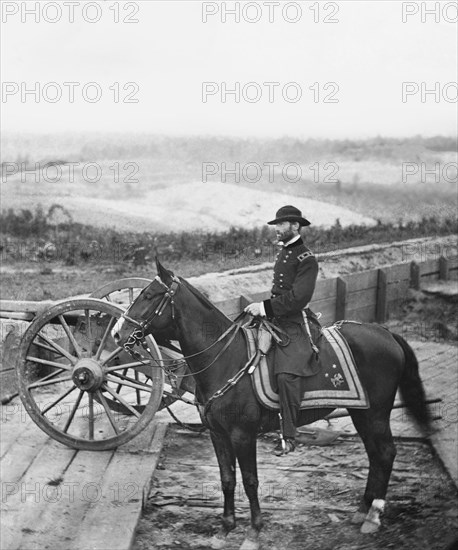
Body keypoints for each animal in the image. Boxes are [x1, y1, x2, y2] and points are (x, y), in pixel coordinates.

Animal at [112, 262, 432, 550]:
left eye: (149, 295)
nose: (116, 332)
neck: (226, 359)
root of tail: (386, 333)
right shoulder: (217, 434)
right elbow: (227, 478)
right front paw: (225, 529)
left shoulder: (243, 435)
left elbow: (250, 480)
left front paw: (253, 533)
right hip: (361, 412)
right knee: (375, 455)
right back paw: (362, 510)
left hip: (376, 413)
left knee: (386, 453)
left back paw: (374, 515)